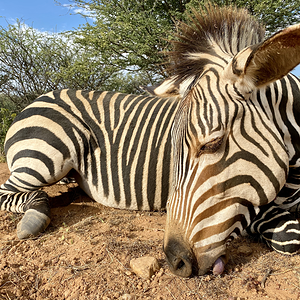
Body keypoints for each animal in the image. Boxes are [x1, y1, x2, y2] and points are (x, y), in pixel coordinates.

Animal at [1, 3, 300, 278]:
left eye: (211, 145)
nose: (175, 261)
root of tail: (38, 99)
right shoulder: (251, 207)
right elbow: (290, 235)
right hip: (46, 155)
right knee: (14, 192)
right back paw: (34, 216)